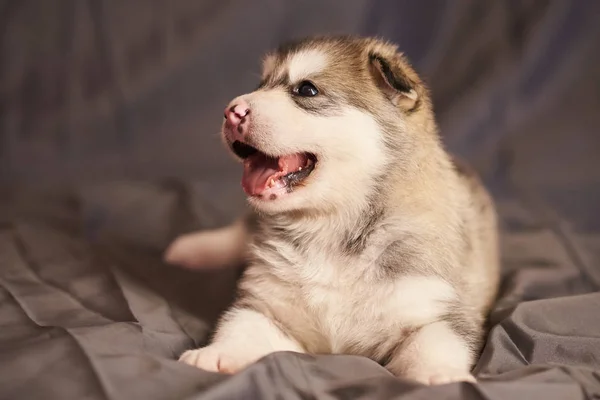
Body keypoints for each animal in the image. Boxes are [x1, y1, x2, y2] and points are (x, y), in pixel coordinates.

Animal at [164, 36, 496, 386]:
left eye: (306, 90)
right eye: (260, 84)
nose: (231, 111)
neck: (329, 226)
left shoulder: (439, 306)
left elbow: (435, 342)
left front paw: (441, 376)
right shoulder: (267, 305)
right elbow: (240, 326)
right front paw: (215, 354)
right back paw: (190, 250)